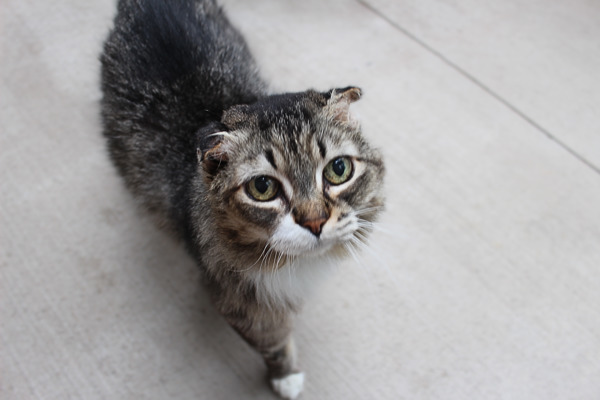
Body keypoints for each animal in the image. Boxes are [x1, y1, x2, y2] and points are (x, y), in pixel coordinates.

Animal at [98, 0, 384, 396]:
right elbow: (275, 343)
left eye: (338, 169)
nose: (315, 222)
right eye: (262, 188)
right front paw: (285, 378)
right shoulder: (240, 302)